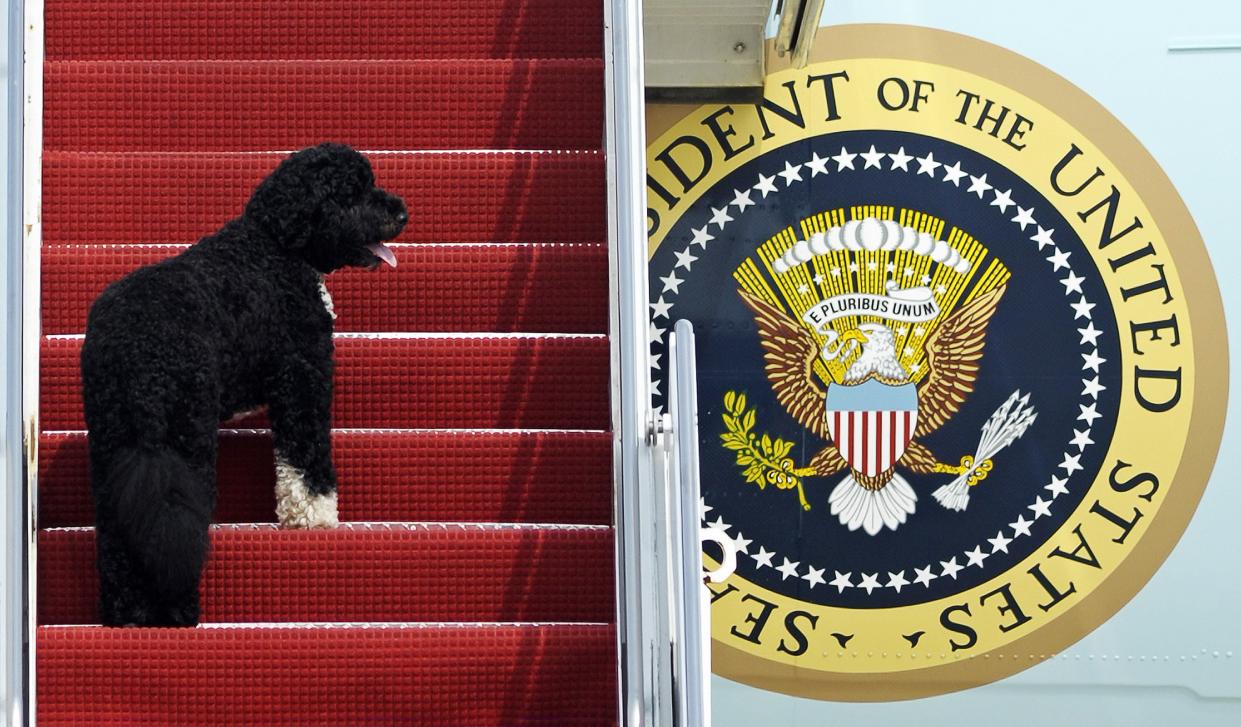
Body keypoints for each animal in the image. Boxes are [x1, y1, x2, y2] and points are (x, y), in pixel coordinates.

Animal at [81, 142, 407, 622]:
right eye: (354, 191)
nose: (402, 212)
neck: (276, 244)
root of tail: (141, 359)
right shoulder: (303, 376)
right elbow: (306, 460)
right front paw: (315, 517)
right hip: (188, 435)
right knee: (180, 527)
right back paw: (179, 613)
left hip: (113, 439)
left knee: (121, 536)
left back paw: (127, 616)